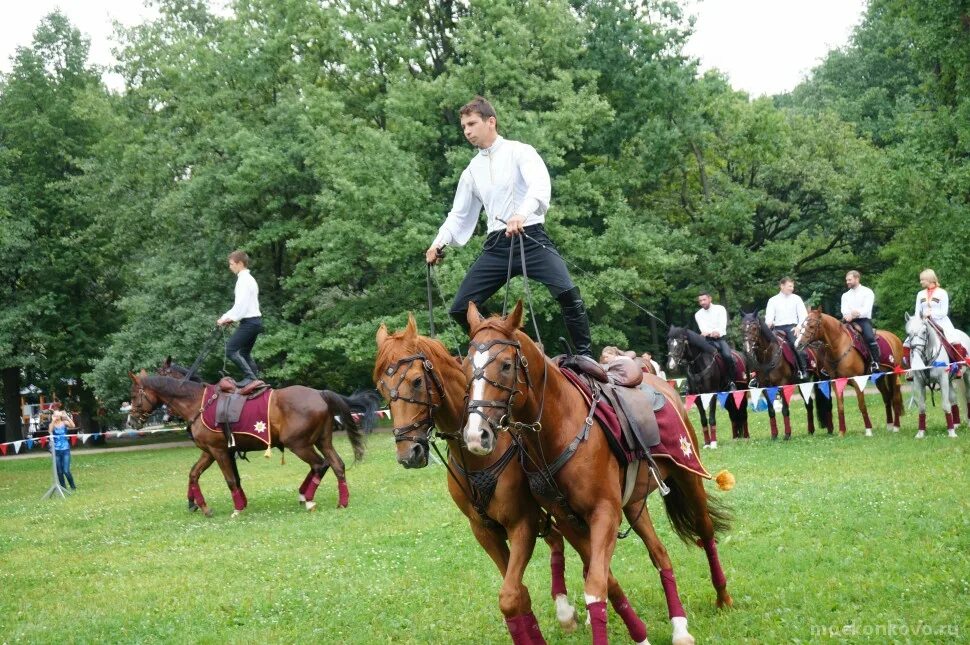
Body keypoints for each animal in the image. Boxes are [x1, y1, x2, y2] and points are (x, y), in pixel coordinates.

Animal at [125, 368, 374, 512]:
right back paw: (340, 501)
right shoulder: (210, 451)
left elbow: (230, 480)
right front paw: (198, 504)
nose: (131, 421)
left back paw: (309, 498)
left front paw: (237, 508)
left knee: (319, 465)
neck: (198, 402)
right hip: (322, 441)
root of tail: (319, 393)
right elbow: (195, 474)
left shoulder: (218, 451)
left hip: (299, 444)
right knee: (336, 465)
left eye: (133, 394)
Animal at [372, 316, 656, 644]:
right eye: (381, 387)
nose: (408, 453)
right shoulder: (485, 531)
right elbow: (517, 594)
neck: (477, 458)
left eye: (417, 381)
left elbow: (512, 595)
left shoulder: (522, 523)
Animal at [460, 304, 728, 644]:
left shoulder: (604, 512)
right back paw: (679, 626)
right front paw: (639, 633)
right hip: (634, 503)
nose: (475, 435)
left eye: (506, 365)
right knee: (660, 554)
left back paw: (722, 597)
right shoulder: (569, 520)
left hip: (688, 476)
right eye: (466, 368)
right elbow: (605, 580)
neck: (559, 427)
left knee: (705, 530)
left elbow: (596, 587)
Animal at [792, 308, 904, 438]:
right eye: (802, 325)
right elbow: (840, 406)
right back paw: (889, 425)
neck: (839, 347)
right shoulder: (836, 383)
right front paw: (842, 432)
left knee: (895, 398)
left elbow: (862, 405)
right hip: (879, 378)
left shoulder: (857, 381)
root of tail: (894, 338)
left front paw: (868, 430)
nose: (797, 344)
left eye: (811, 326)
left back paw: (896, 427)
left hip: (894, 375)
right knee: (886, 398)